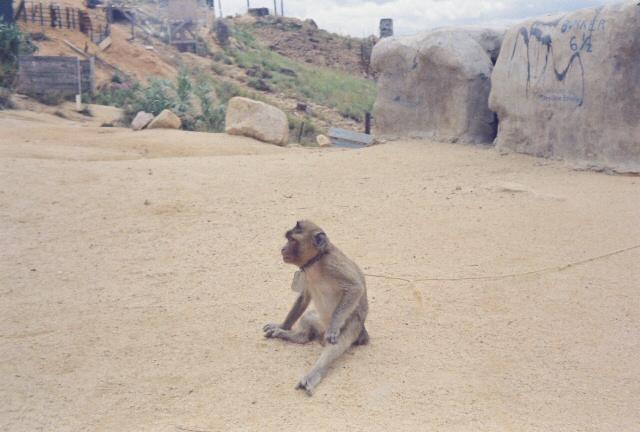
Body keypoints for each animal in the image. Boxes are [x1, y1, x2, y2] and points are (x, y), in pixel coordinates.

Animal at [263, 220, 369, 395]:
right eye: (288, 238)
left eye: (292, 240)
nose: (282, 249)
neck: (315, 262)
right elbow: (303, 297)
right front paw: (282, 326)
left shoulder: (332, 264)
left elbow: (355, 288)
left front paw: (333, 328)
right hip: (319, 323)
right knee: (308, 319)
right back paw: (295, 336)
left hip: (353, 327)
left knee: (335, 345)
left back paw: (314, 374)